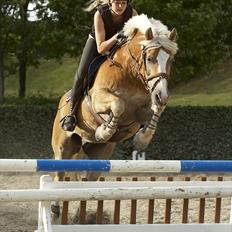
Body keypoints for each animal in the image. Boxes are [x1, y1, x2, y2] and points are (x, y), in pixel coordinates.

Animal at [50, 14, 178, 218]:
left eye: (170, 61)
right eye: (150, 58)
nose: (163, 96)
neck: (130, 74)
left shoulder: (142, 109)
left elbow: (155, 112)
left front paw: (142, 139)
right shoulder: (99, 98)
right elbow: (118, 104)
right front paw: (104, 131)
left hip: (99, 154)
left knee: (88, 181)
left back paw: (81, 213)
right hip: (64, 145)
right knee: (60, 172)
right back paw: (55, 208)